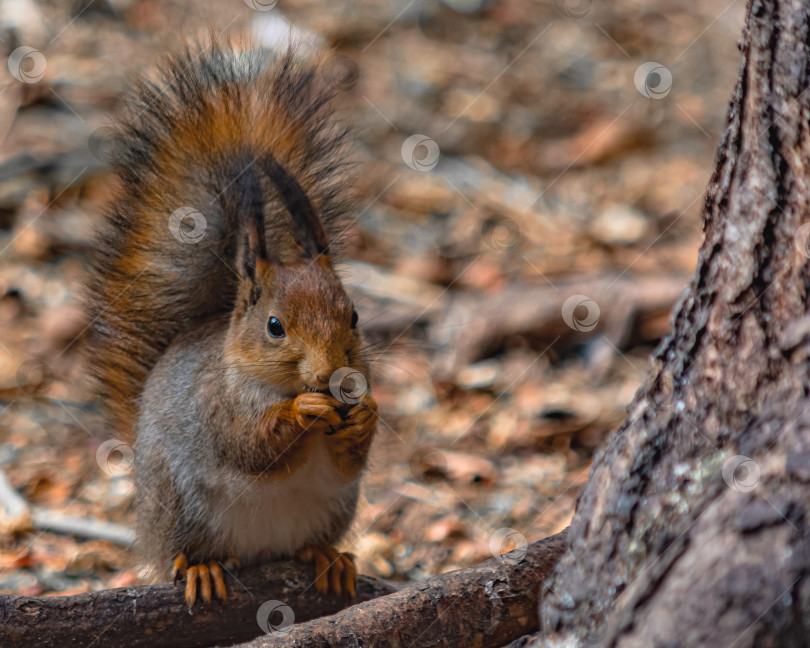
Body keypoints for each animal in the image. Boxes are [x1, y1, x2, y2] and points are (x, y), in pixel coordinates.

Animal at [85, 41, 378, 608]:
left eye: (353, 316)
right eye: (274, 326)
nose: (333, 377)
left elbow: (348, 460)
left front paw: (367, 414)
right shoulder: (216, 407)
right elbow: (252, 447)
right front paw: (303, 410)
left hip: (333, 509)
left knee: (310, 542)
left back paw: (326, 558)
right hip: (179, 505)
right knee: (182, 553)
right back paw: (202, 568)